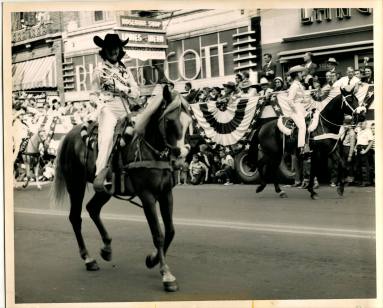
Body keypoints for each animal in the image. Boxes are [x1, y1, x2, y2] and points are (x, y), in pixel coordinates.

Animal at [53, 86, 192, 292]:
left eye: (189, 120)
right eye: (169, 120)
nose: (180, 159)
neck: (148, 147)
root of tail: (69, 135)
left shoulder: (166, 193)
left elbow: (170, 231)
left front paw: (152, 259)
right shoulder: (147, 195)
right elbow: (158, 234)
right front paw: (166, 274)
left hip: (105, 190)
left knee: (92, 209)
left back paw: (106, 248)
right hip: (75, 185)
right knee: (75, 217)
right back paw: (88, 258)